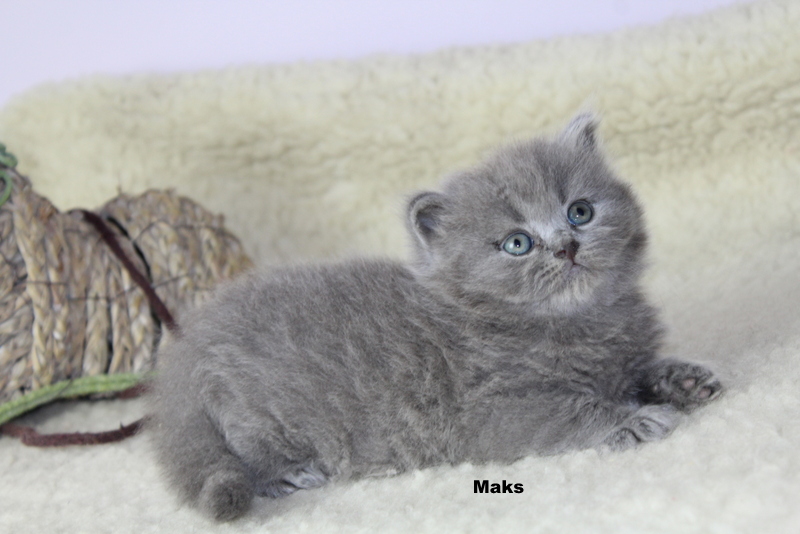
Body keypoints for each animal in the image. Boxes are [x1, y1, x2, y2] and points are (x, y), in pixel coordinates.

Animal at [148, 114, 722, 521]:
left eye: (580, 211)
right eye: (517, 243)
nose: (566, 246)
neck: (581, 322)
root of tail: (185, 354)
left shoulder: (621, 358)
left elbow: (639, 371)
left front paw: (682, 379)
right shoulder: (494, 412)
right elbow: (574, 410)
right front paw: (633, 419)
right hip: (257, 413)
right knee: (246, 448)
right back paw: (285, 474)